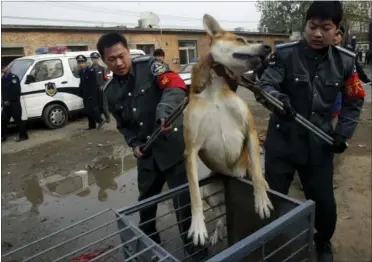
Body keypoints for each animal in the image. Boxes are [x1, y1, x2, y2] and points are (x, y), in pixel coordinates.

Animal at [183, 14, 274, 247]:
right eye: (240, 40)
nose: (268, 47)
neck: (214, 90)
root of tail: (231, 176)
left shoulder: (250, 131)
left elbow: (257, 174)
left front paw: (261, 201)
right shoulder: (190, 149)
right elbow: (193, 194)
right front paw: (198, 227)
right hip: (209, 190)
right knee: (220, 216)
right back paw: (218, 232)